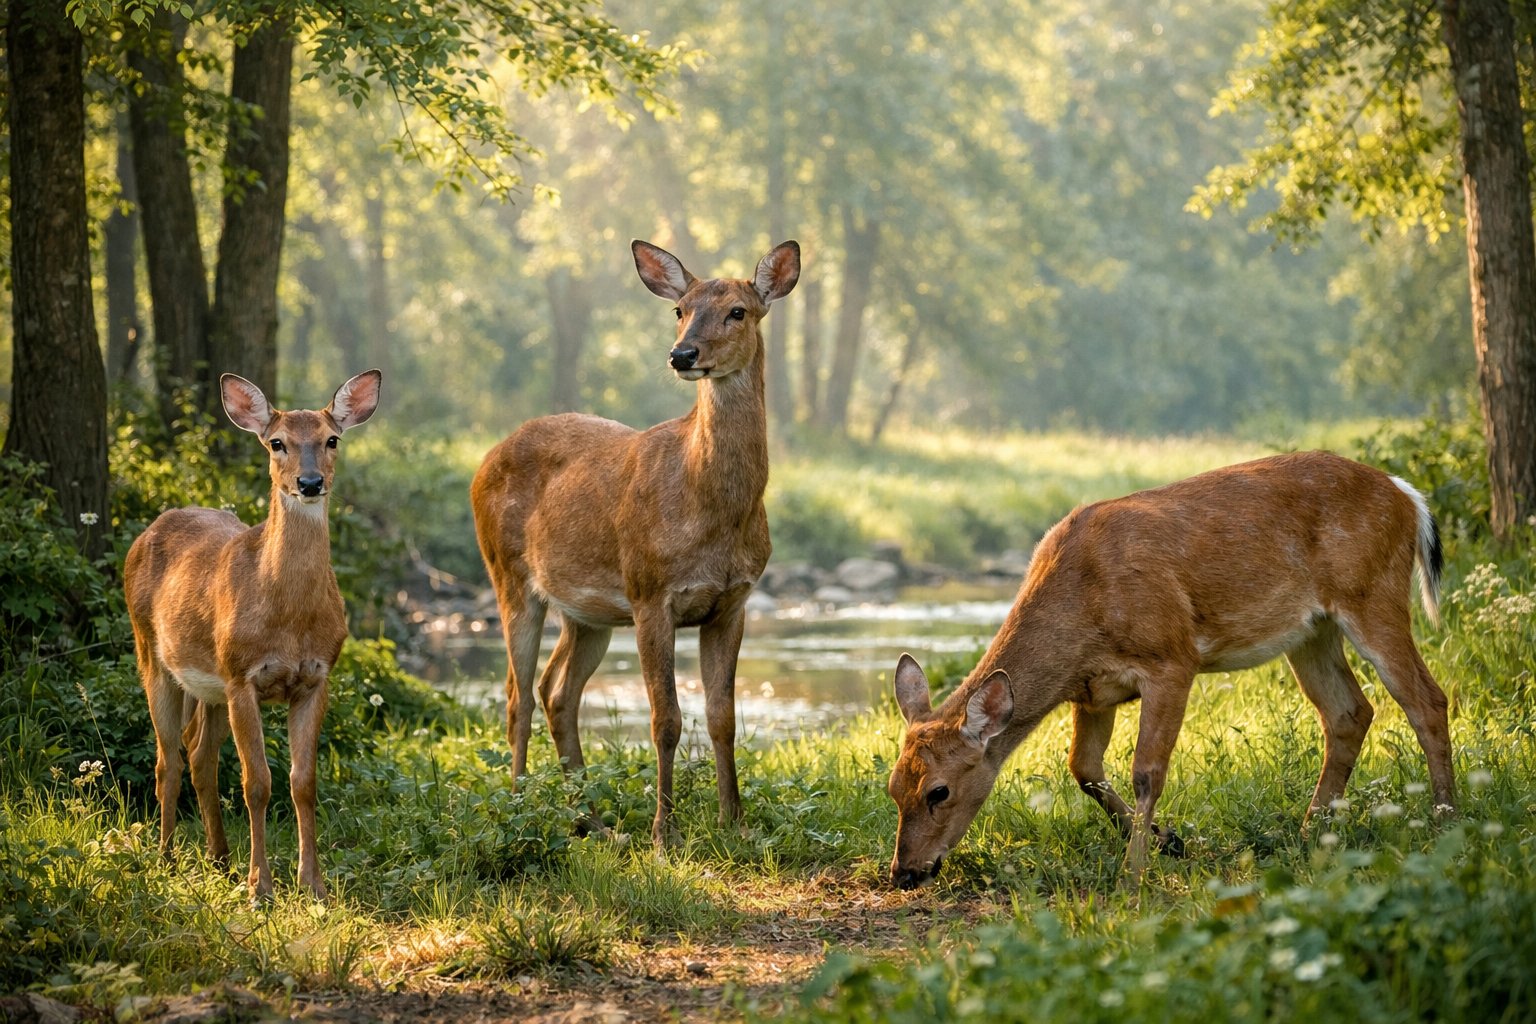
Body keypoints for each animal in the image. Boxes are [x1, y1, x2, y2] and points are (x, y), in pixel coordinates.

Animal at [124, 370, 381, 901]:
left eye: (332, 439)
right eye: (276, 442)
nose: (310, 482)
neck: (289, 621)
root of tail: (148, 529)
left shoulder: (316, 679)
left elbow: (303, 782)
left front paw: (312, 884)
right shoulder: (243, 676)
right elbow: (256, 782)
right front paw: (260, 886)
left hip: (210, 685)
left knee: (199, 755)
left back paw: (219, 858)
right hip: (153, 656)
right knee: (168, 760)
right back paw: (166, 858)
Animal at [471, 239, 800, 850]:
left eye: (738, 311)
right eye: (679, 309)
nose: (682, 354)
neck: (712, 510)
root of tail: (484, 460)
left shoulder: (733, 602)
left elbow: (723, 716)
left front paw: (734, 822)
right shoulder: (651, 593)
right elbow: (665, 719)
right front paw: (664, 833)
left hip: (587, 612)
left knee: (557, 692)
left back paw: (592, 821)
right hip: (507, 574)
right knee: (516, 695)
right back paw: (519, 808)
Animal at [885, 451, 1456, 889]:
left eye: (939, 791)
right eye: (893, 788)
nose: (904, 873)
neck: (1082, 615)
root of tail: (1408, 496)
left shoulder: (1171, 660)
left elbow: (1147, 772)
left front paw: (1133, 875)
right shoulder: (1092, 691)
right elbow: (1083, 769)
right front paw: (1168, 842)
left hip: (1373, 595)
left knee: (1426, 699)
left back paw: (1446, 820)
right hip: (1311, 633)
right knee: (1349, 712)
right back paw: (1311, 833)